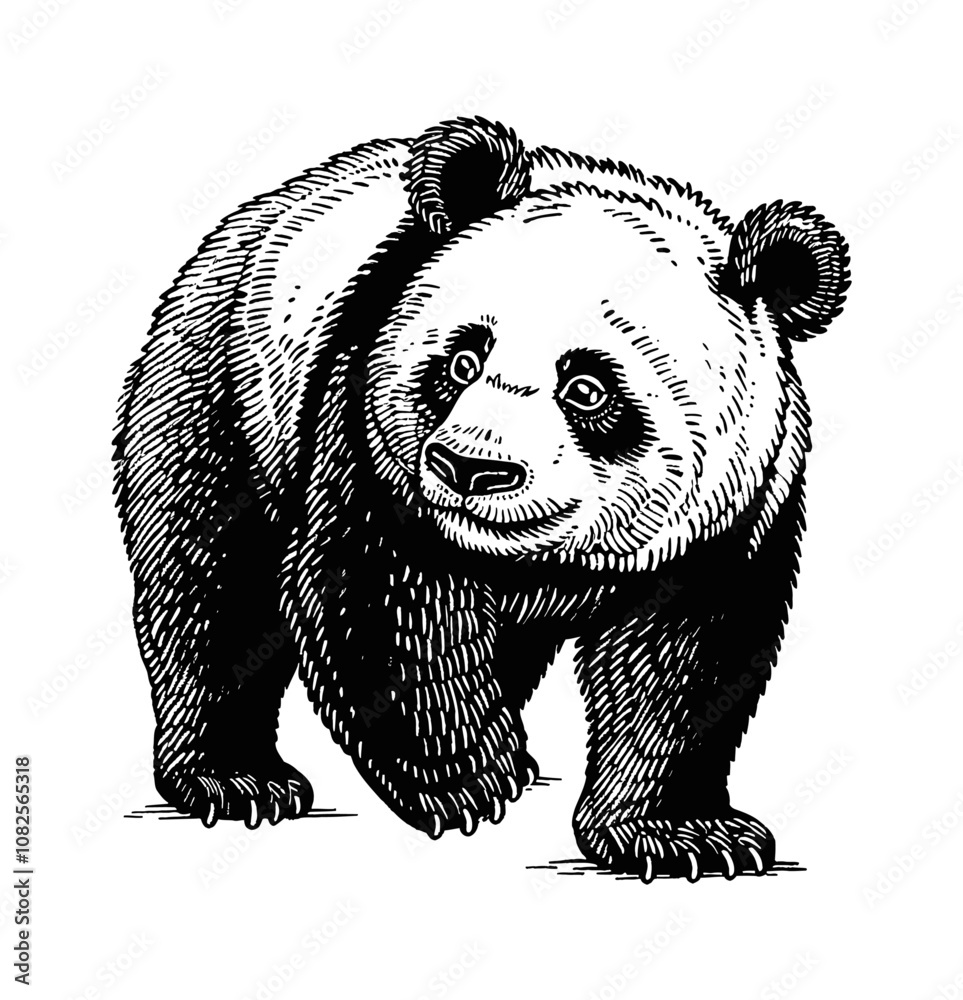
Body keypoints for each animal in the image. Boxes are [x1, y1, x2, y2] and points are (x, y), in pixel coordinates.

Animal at [114, 117, 849, 880]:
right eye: (462, 361)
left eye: (587, 388)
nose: (472, 468)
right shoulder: (367, 428)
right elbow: (385, 603)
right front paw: (461, 782)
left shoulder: (733, 506)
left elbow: (687, 656)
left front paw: (680, 832)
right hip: (221, 391)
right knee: (212, 579)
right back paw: (235, 778)